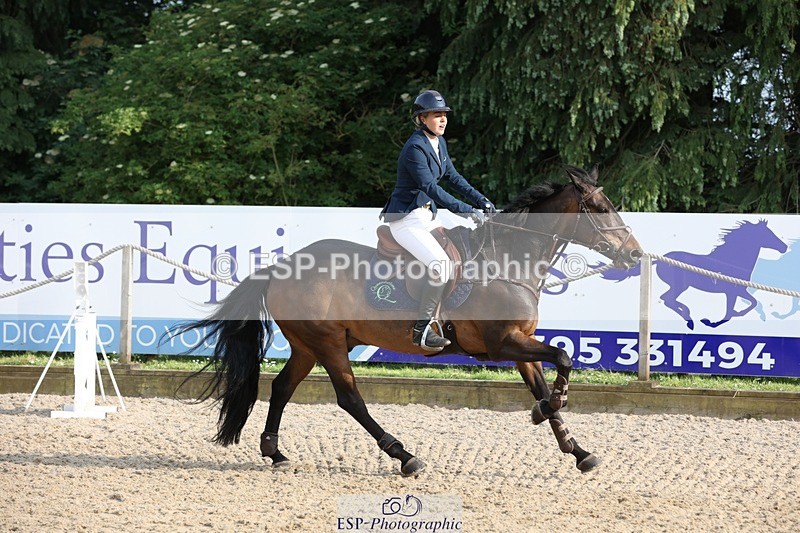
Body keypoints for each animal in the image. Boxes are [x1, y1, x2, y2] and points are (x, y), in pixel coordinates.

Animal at [176, 166, 643, 476]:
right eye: (601, 208)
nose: (635, 254)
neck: (509, 260)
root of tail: (281, 267)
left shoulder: (519, 343)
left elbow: (544, 383)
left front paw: (575, 447)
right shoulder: (503, 342)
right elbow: (563, 358)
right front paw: (551, 409)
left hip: (310, 345)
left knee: (281, 388)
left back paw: (274, 452)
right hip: (328, 343)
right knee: (350, 399)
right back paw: (404, 455)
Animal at [602, 219, 787, 329]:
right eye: (767, 234)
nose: (784, 247)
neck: (733, 261)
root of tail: (661, 260)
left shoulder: (740, 290)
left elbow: (751, 303)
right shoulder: (732, 292)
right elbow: (729, 313)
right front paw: (709, 322)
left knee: (667, 299)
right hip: (680, 286)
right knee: (667, 298)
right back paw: (689, 319)